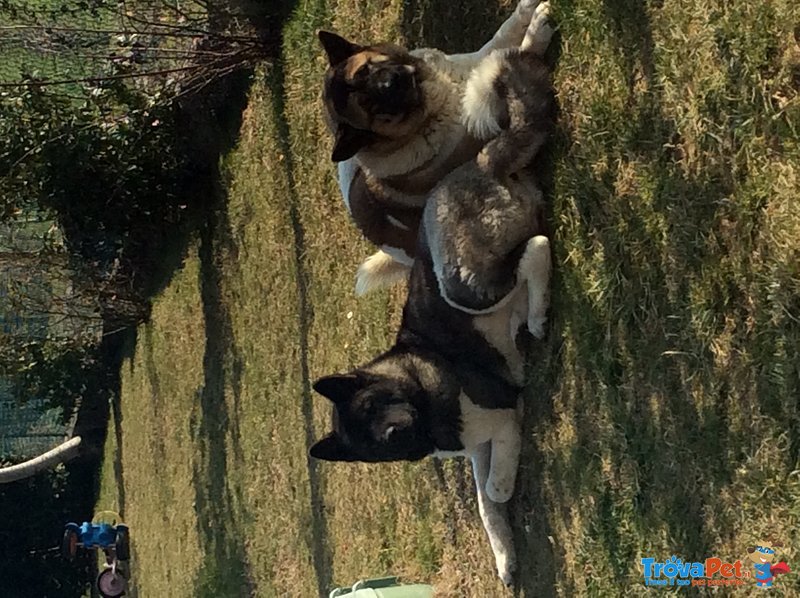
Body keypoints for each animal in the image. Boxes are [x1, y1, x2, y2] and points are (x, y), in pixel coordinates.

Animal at [310, 42, 552, 584]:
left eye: (373, 406)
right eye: (373, 447)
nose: (396, 434)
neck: (418, 388)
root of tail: (475, 165)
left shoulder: (501, 415)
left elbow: (495, 489)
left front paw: (507, 489)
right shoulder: (478, 446)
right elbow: (485, 504)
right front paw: (504, 555)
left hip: (460, 280)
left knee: (536, 247)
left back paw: (536, 315)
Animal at [316, 0, 552, 296]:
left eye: (366, 70)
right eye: (370, 107)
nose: (390, 82)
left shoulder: (467, 62)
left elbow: (499, 38)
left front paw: (526, 12)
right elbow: (510, 57)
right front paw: (536, 34)